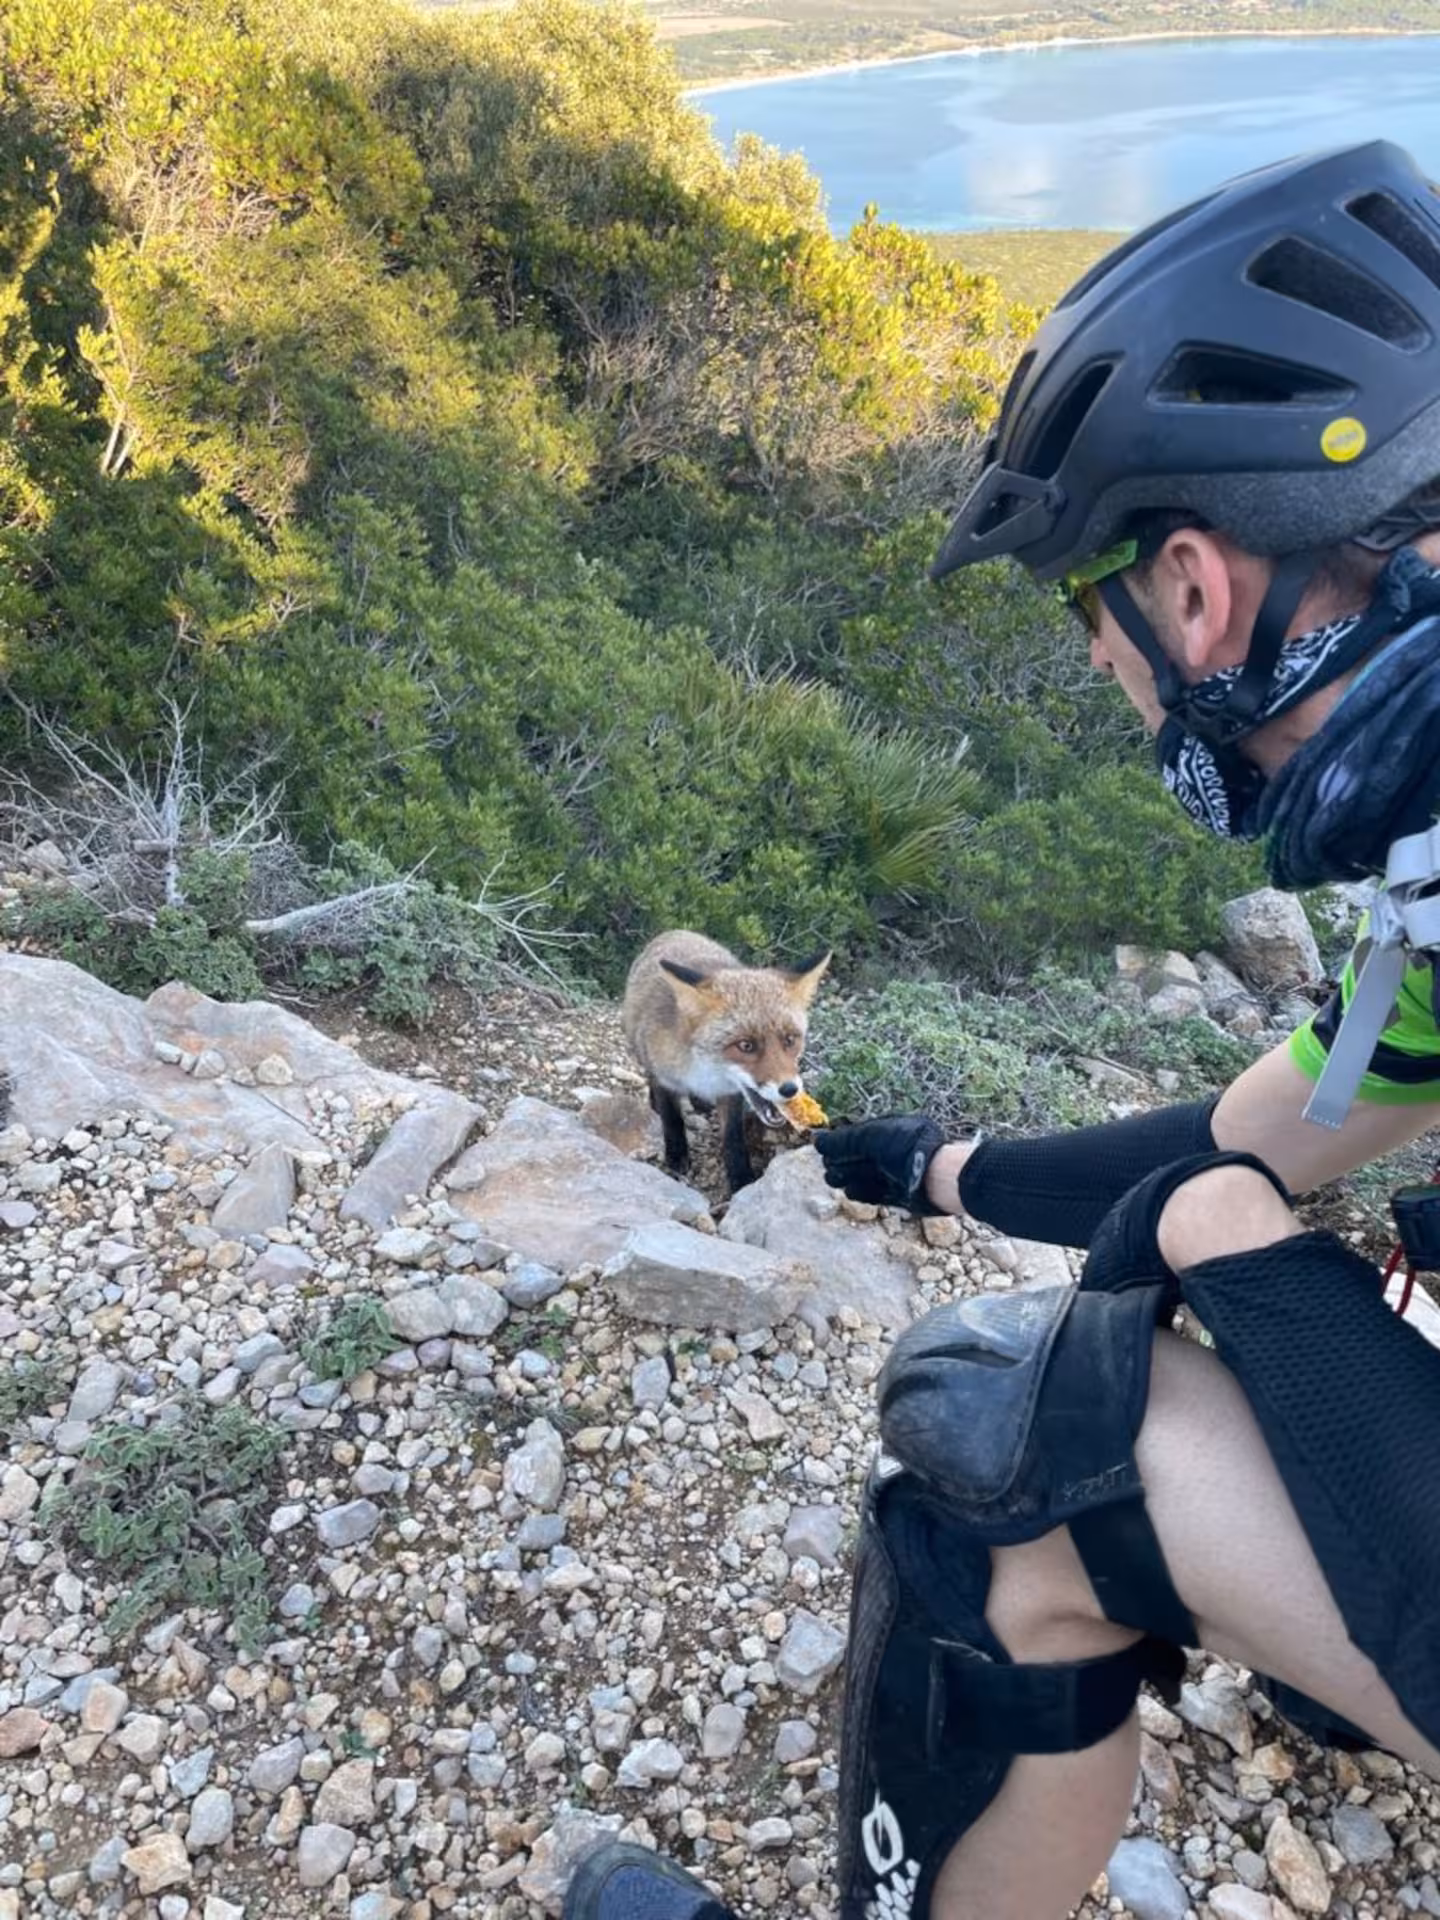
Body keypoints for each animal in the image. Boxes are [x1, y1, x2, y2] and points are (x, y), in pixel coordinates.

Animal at [621, 930, 831, 1194]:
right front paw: (676, 1159)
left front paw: (741, 1179)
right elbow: (672, 1121)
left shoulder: (729, 1092)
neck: (704, 1071)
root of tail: (675, 932)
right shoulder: (665, 1078)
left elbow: (733, 1139)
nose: (790, 1089)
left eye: (790, 1039)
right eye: (746, 1045)